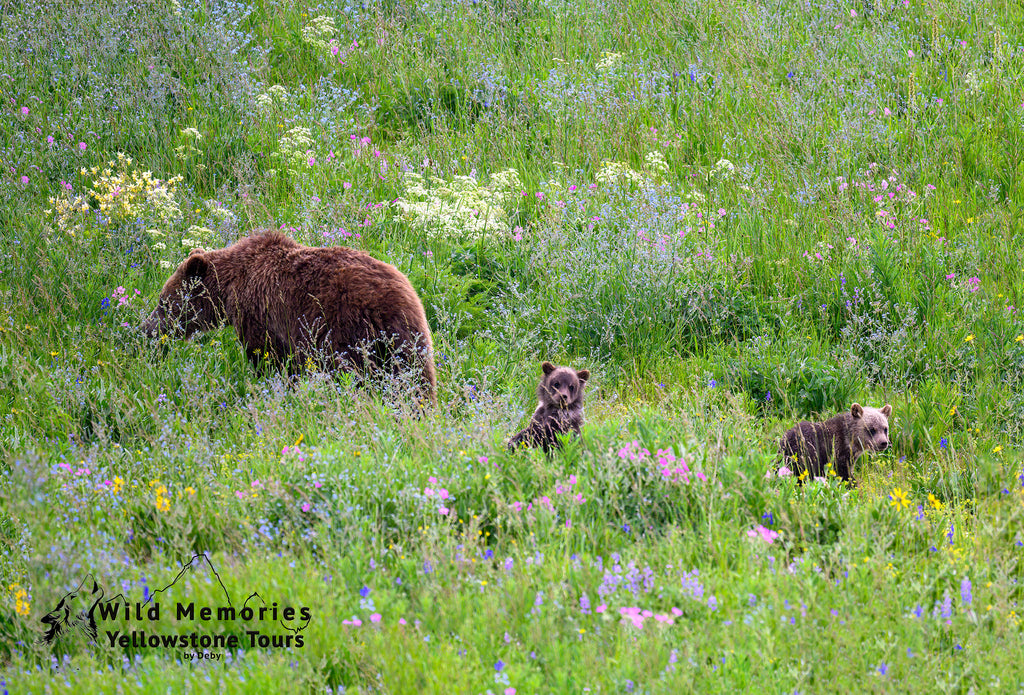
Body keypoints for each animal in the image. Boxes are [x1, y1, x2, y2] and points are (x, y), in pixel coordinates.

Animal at [141, 232, 436, 405]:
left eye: (163, 302)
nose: (146, 329)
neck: (229, 288)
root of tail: (395, 300)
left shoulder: (261, 316)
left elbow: (270, 359)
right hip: (410, 337)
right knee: (417, 378)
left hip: (348, 328)